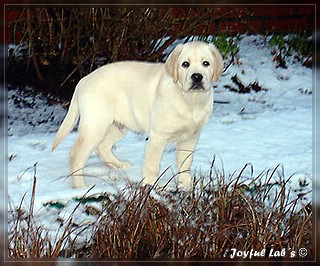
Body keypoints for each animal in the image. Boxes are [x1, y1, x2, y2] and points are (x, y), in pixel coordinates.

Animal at [52, 41, 222, 189]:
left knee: (102, 146)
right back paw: (80, 186)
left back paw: (118, 164)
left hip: (119, 125)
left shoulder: (191, 137)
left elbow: (185, 163)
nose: (197, 77)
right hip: (95, 125)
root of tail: (83, 80)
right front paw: (152, 185)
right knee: (76, 155)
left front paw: (187, 186)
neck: (190, 100)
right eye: (185, 64)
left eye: (206, 63)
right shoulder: (158, 136)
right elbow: (153, 164)